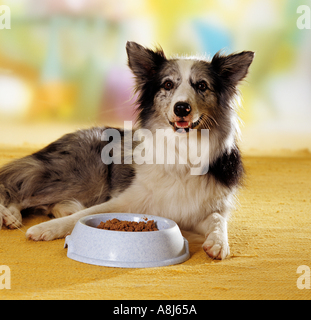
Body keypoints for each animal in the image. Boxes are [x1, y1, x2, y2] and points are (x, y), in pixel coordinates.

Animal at [0, 41, 255, 258]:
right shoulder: (126, 198)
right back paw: (10, 215)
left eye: (202, 85)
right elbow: (86, 215)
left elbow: (218, 220)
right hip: (84, 175)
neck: (181, 149)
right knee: (19, 188)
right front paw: (45, 228)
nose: (182, 108)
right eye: (168, 84)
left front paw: (218, 243)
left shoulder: (203, 209)